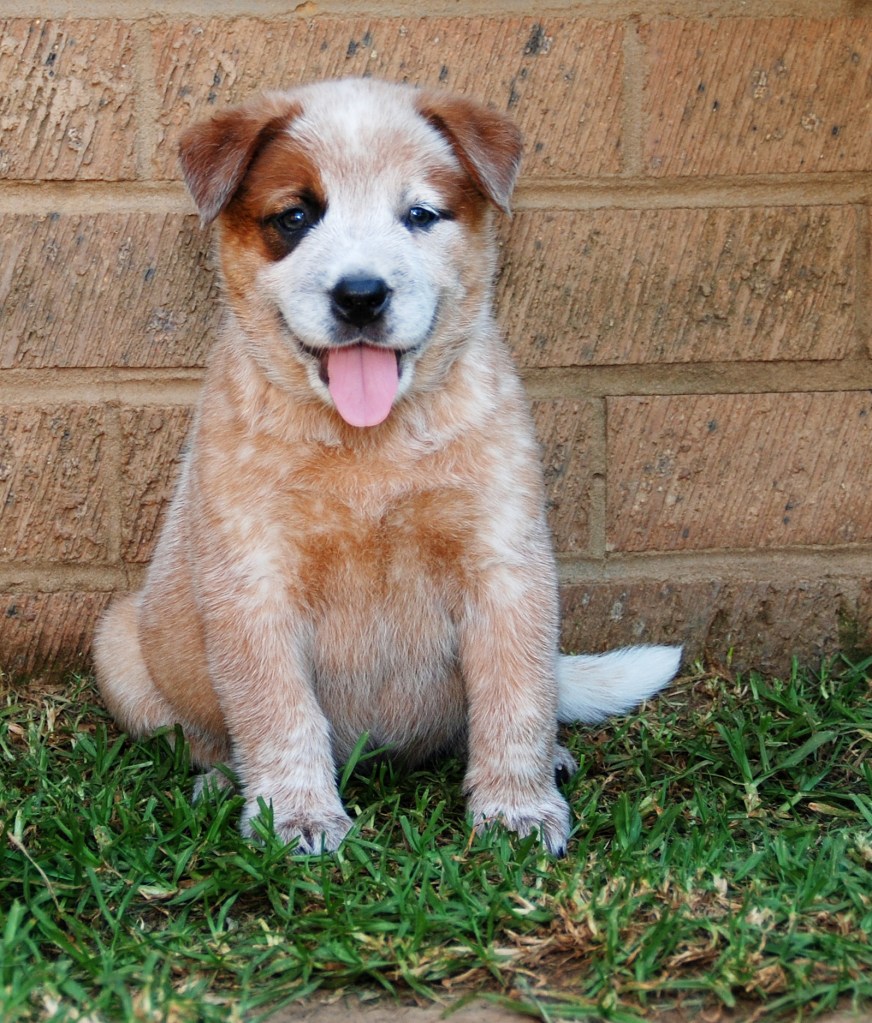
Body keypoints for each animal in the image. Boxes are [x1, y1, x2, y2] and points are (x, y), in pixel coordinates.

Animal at [95, 77, 679, 855]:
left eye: (420, 214)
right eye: (296, 216)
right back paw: (220, 782)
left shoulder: (503, 563)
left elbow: (517, 696)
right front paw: (297, 817)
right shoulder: (253, 580)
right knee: (204, 734)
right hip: (120, 645)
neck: (369, 448)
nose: (361, 295)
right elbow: (277, 712)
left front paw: (517, 808)